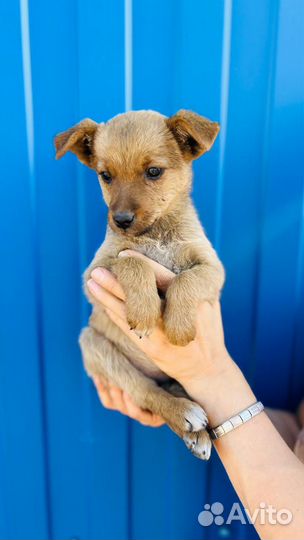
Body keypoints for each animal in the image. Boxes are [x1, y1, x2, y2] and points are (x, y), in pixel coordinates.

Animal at [55, 109, 226, 460]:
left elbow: (186, 279)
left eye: (154, 171)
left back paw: (196, 432)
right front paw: (146, 311)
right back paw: (185, 414)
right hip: (95, 347)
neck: (157, 232)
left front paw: (177, 325)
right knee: (148, 392)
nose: (120, 220)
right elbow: (132, 261)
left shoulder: (212, 268)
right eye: (105, 175)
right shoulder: (94, 272)